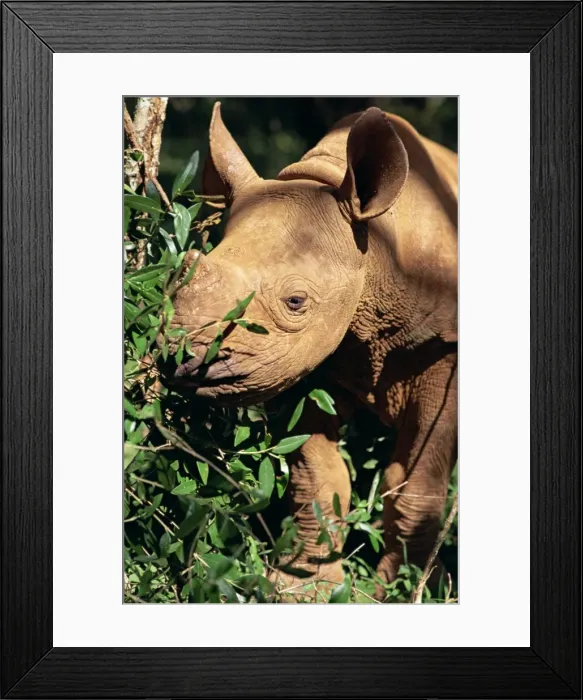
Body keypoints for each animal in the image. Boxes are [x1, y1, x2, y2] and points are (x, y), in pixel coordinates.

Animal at [167, 102, 458, 598]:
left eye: (296, 302)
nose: (179, 357)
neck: (374, 250)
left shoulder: (445, 346)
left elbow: (417, 480)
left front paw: (404, 594)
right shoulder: (304, 361)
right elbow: (318, 475)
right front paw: (303, 588)